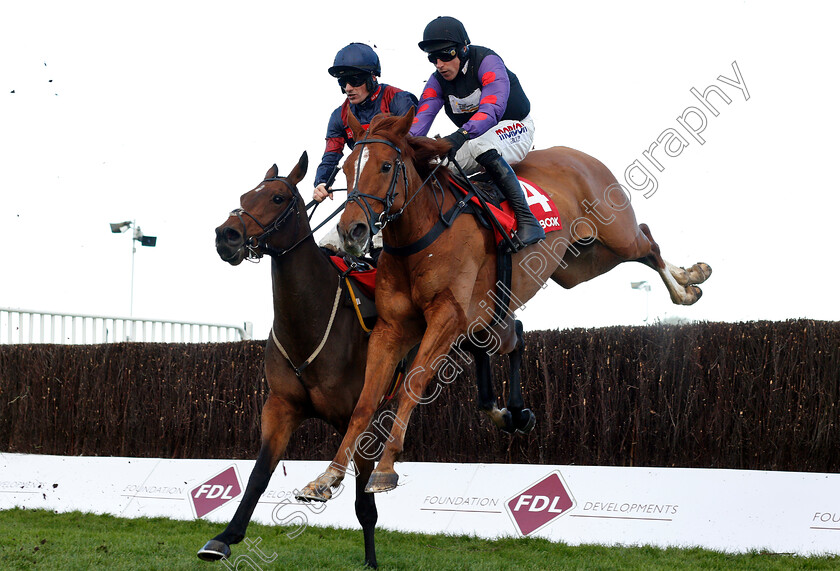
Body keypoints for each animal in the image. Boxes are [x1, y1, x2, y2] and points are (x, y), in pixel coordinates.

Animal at [201, 152, 528, 568]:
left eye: (277, 198)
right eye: (245, 196)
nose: (226, 235)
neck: (312, 321)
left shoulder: (360, 421)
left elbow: (364, 503)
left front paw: (371, 560)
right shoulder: (280, 406)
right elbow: (259, 476)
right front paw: (223, 538)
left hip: (475, 321)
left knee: (514, 333)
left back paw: (515, 410)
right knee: (487, 351)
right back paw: (500, 410)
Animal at [298, 108, 712, 500]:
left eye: (385, 166)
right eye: (347, 169)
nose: (351, 231)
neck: (421, 235)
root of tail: (580, 156)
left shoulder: (447, 318)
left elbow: (411, 384)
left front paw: (385, 469)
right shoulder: (391, 328)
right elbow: (365, 402)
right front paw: (327, 477)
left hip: (615, 234)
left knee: (648, 243)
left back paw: (687, 286)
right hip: (582, 263)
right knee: (645, 243)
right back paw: (691, 276)